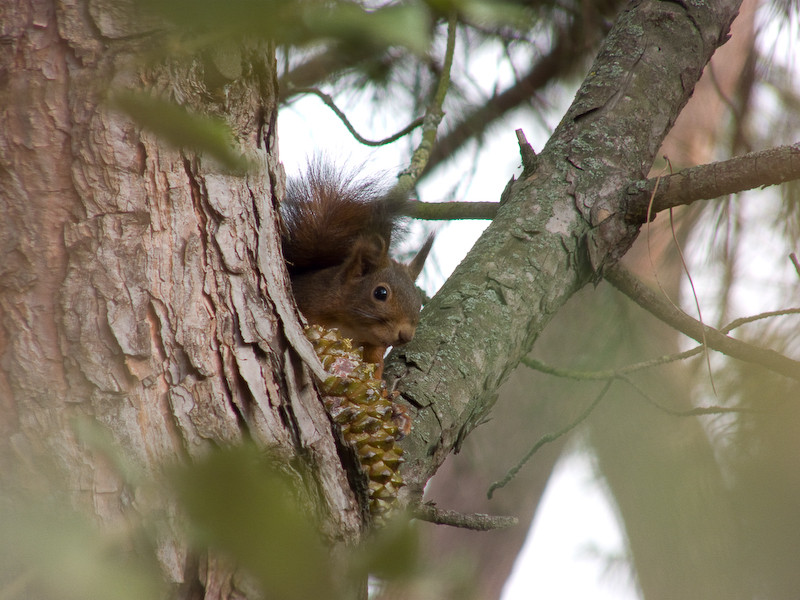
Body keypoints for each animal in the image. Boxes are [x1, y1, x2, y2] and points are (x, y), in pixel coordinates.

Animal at [280, 162, 434, 378]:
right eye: (380, 293)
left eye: (419, 302)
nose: (405, 336)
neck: (353, 327)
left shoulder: (373, 348)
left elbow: (375, 366)